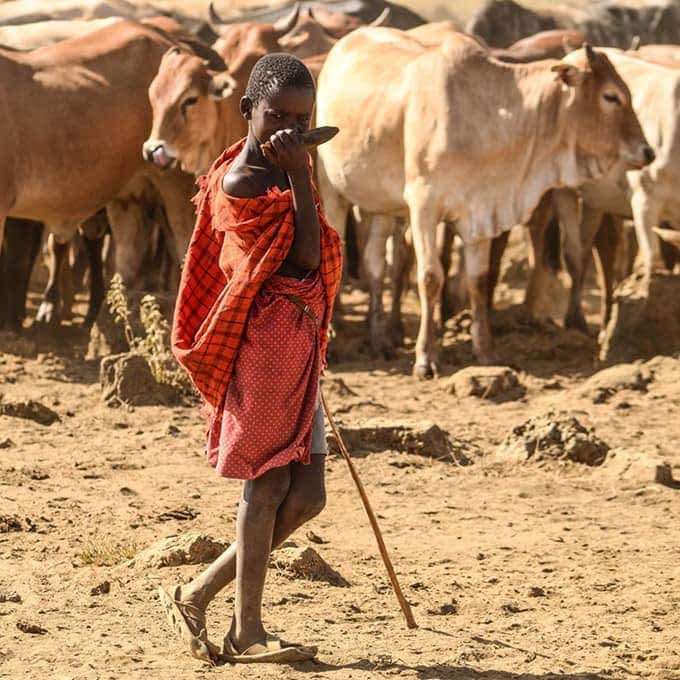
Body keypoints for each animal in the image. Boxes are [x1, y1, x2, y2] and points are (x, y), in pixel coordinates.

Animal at [314, 26, 652, 378]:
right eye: (611, 96)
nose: (648, 151)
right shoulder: (423, 206)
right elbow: (430, 277)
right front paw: (425, 357)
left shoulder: (478, 213)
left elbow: (478, 279)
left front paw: (485, 350)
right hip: (333, 191)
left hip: (382, 207)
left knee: (376, 265)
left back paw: (380, 340)